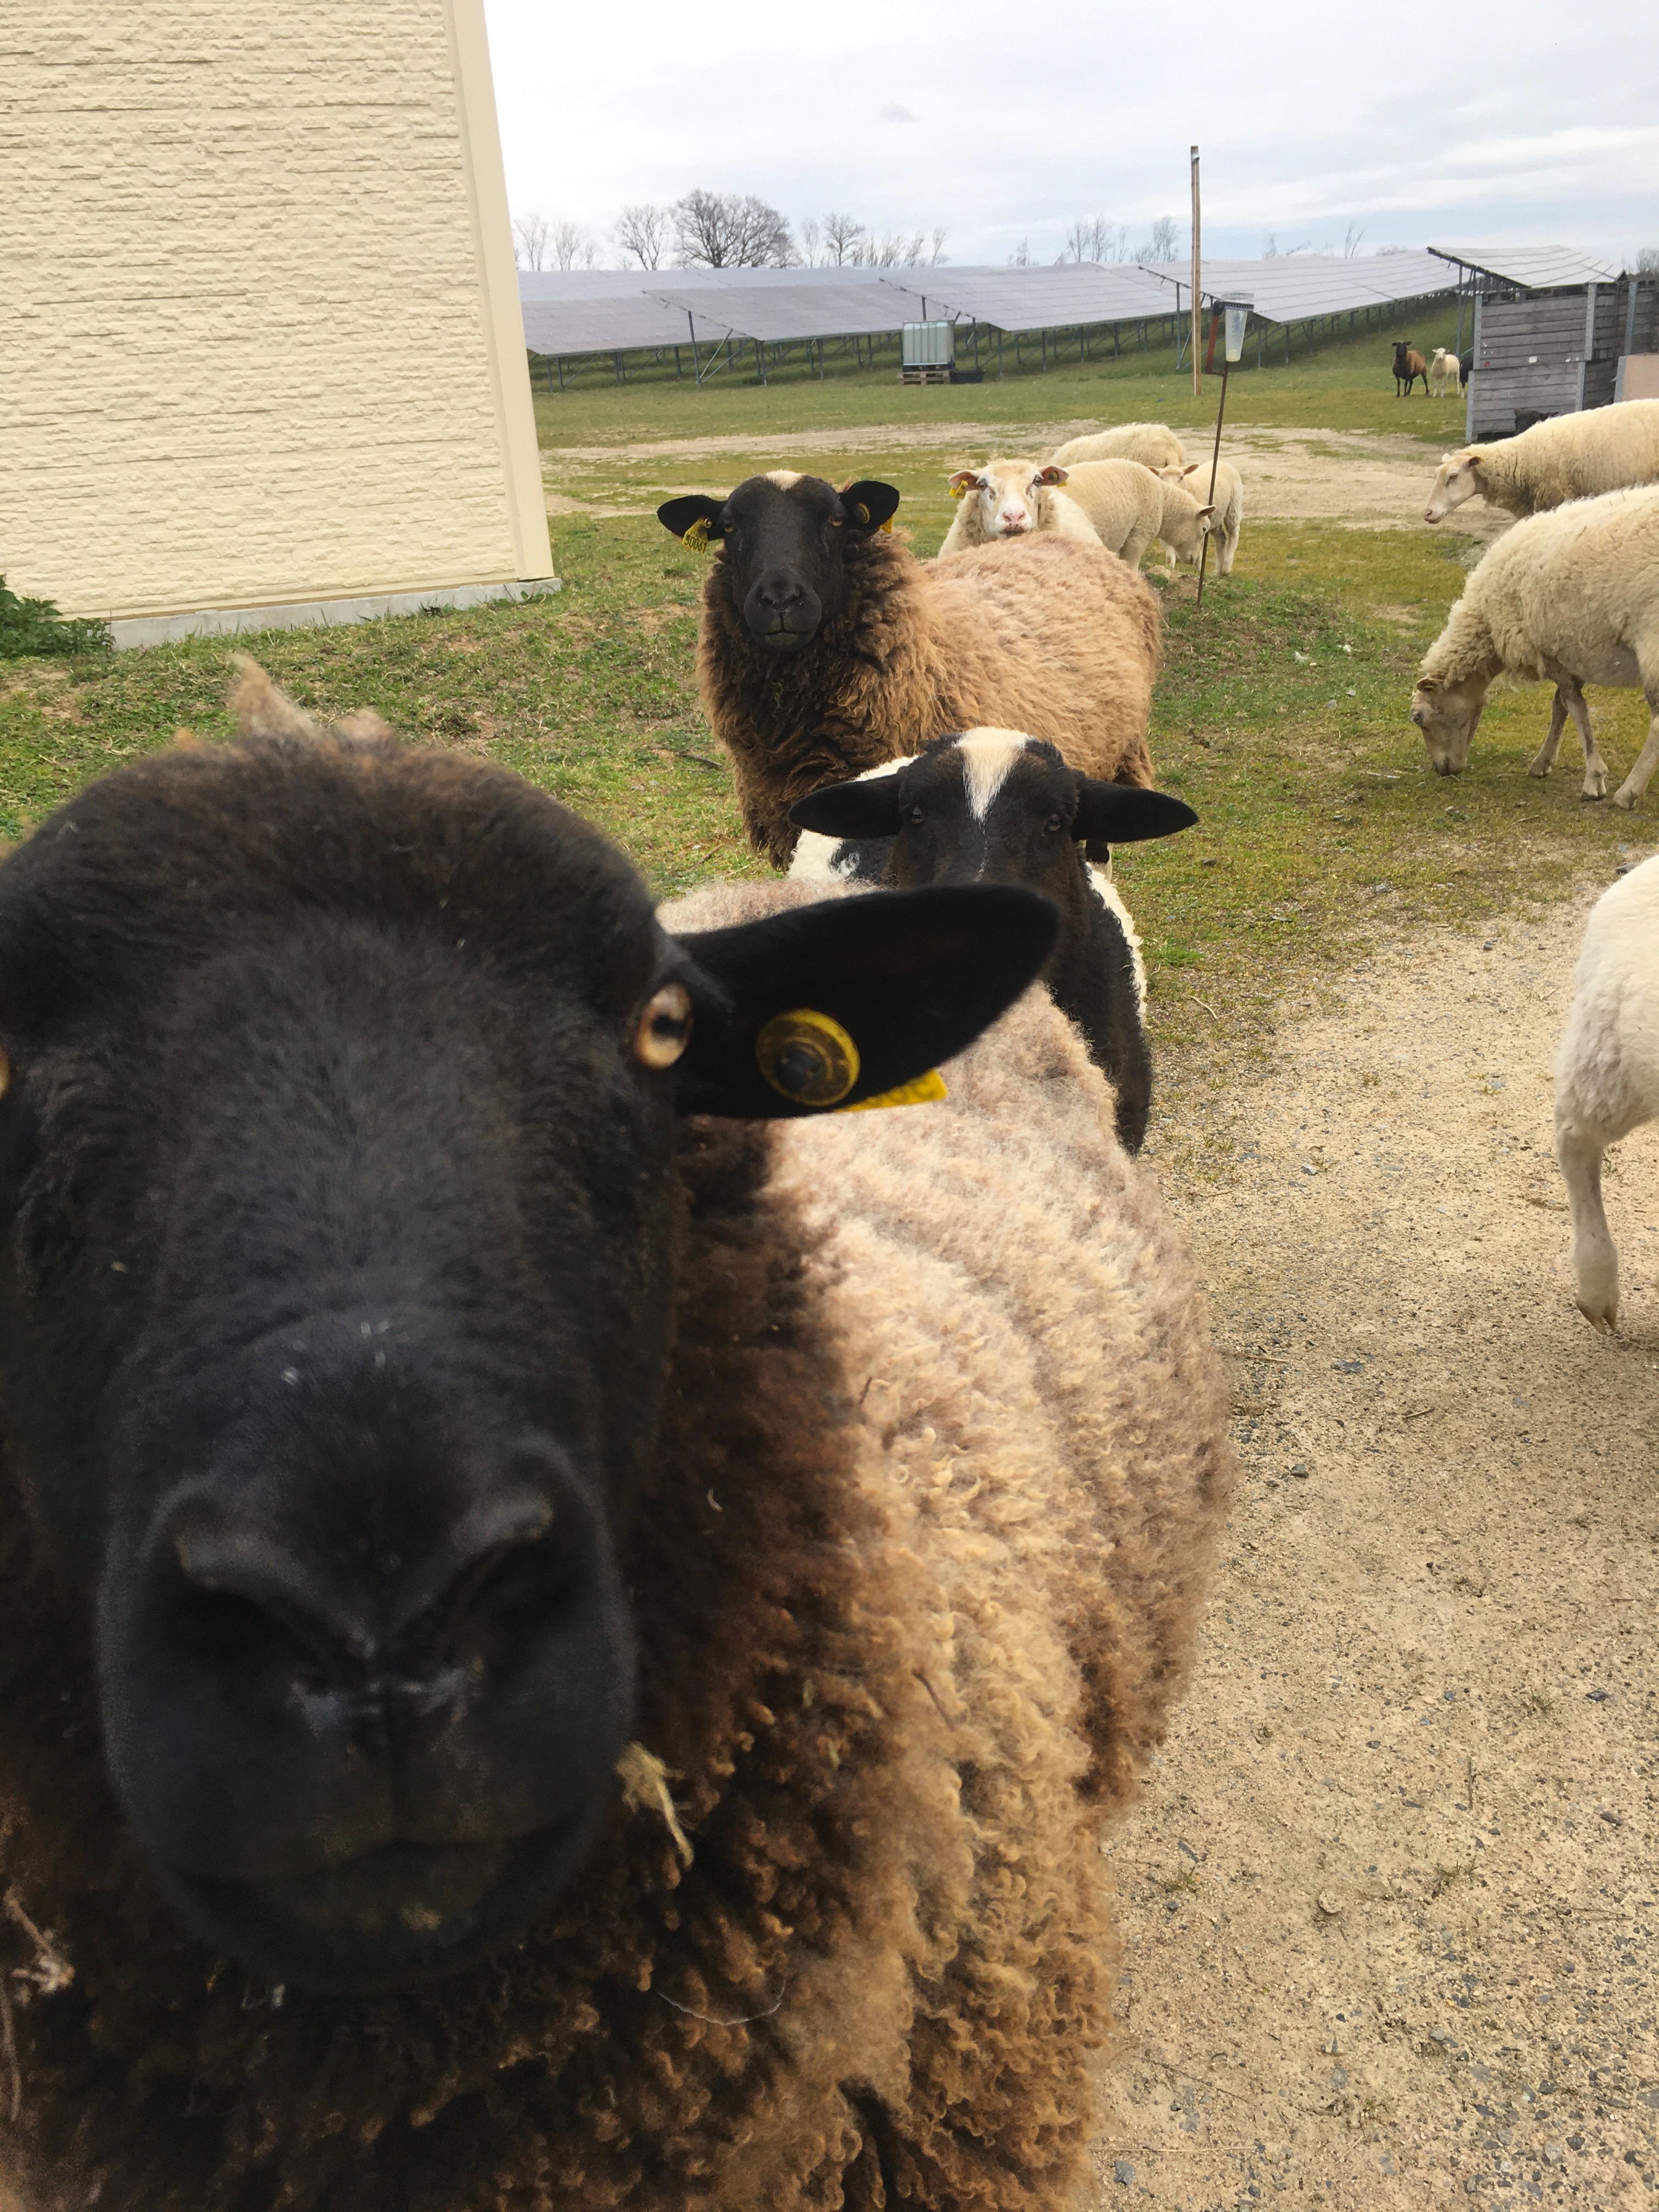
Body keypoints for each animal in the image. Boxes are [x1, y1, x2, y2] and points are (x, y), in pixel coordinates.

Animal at [1159, 457, 1246, 577]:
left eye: (1181, 478)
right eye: (1161, 478)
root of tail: (1223, 462)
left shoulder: (1200, 527)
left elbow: (1199, 552)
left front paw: (1198, 570)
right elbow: (1170, 555)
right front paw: (1170, 569)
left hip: (1233, 506)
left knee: (1233, 534)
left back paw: (1226, 568)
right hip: (1215, 517)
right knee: (1221, 538)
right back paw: (1218, 572)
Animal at [1410, 484, 1659, 808]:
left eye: (1419, 718)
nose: (1442, 771)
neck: (1488, 625)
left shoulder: (1551, 653)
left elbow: (1577, 711)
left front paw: (1594, 779)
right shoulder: (1566, 654)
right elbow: (1560, 708)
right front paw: (1543, 763)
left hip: (1651, 641)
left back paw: (1628, 793)